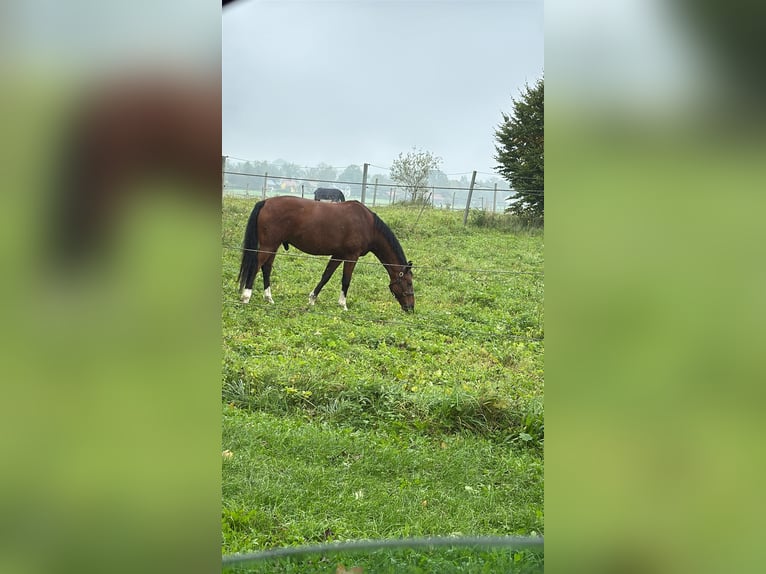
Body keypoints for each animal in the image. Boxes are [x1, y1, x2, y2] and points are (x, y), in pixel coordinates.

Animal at [238, 196, 414, 312]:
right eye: (409, 283)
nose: (411, 308)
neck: (368, 225)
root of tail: (265, 202)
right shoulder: (351, 256)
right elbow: (346, 280)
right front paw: (343, 305)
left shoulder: (338, 255)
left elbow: (326, 276)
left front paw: (312, 300)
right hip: (268, 246)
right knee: (256, 266)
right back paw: (246, 297)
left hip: (273, 246)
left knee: (266, 268)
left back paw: (269, 298)